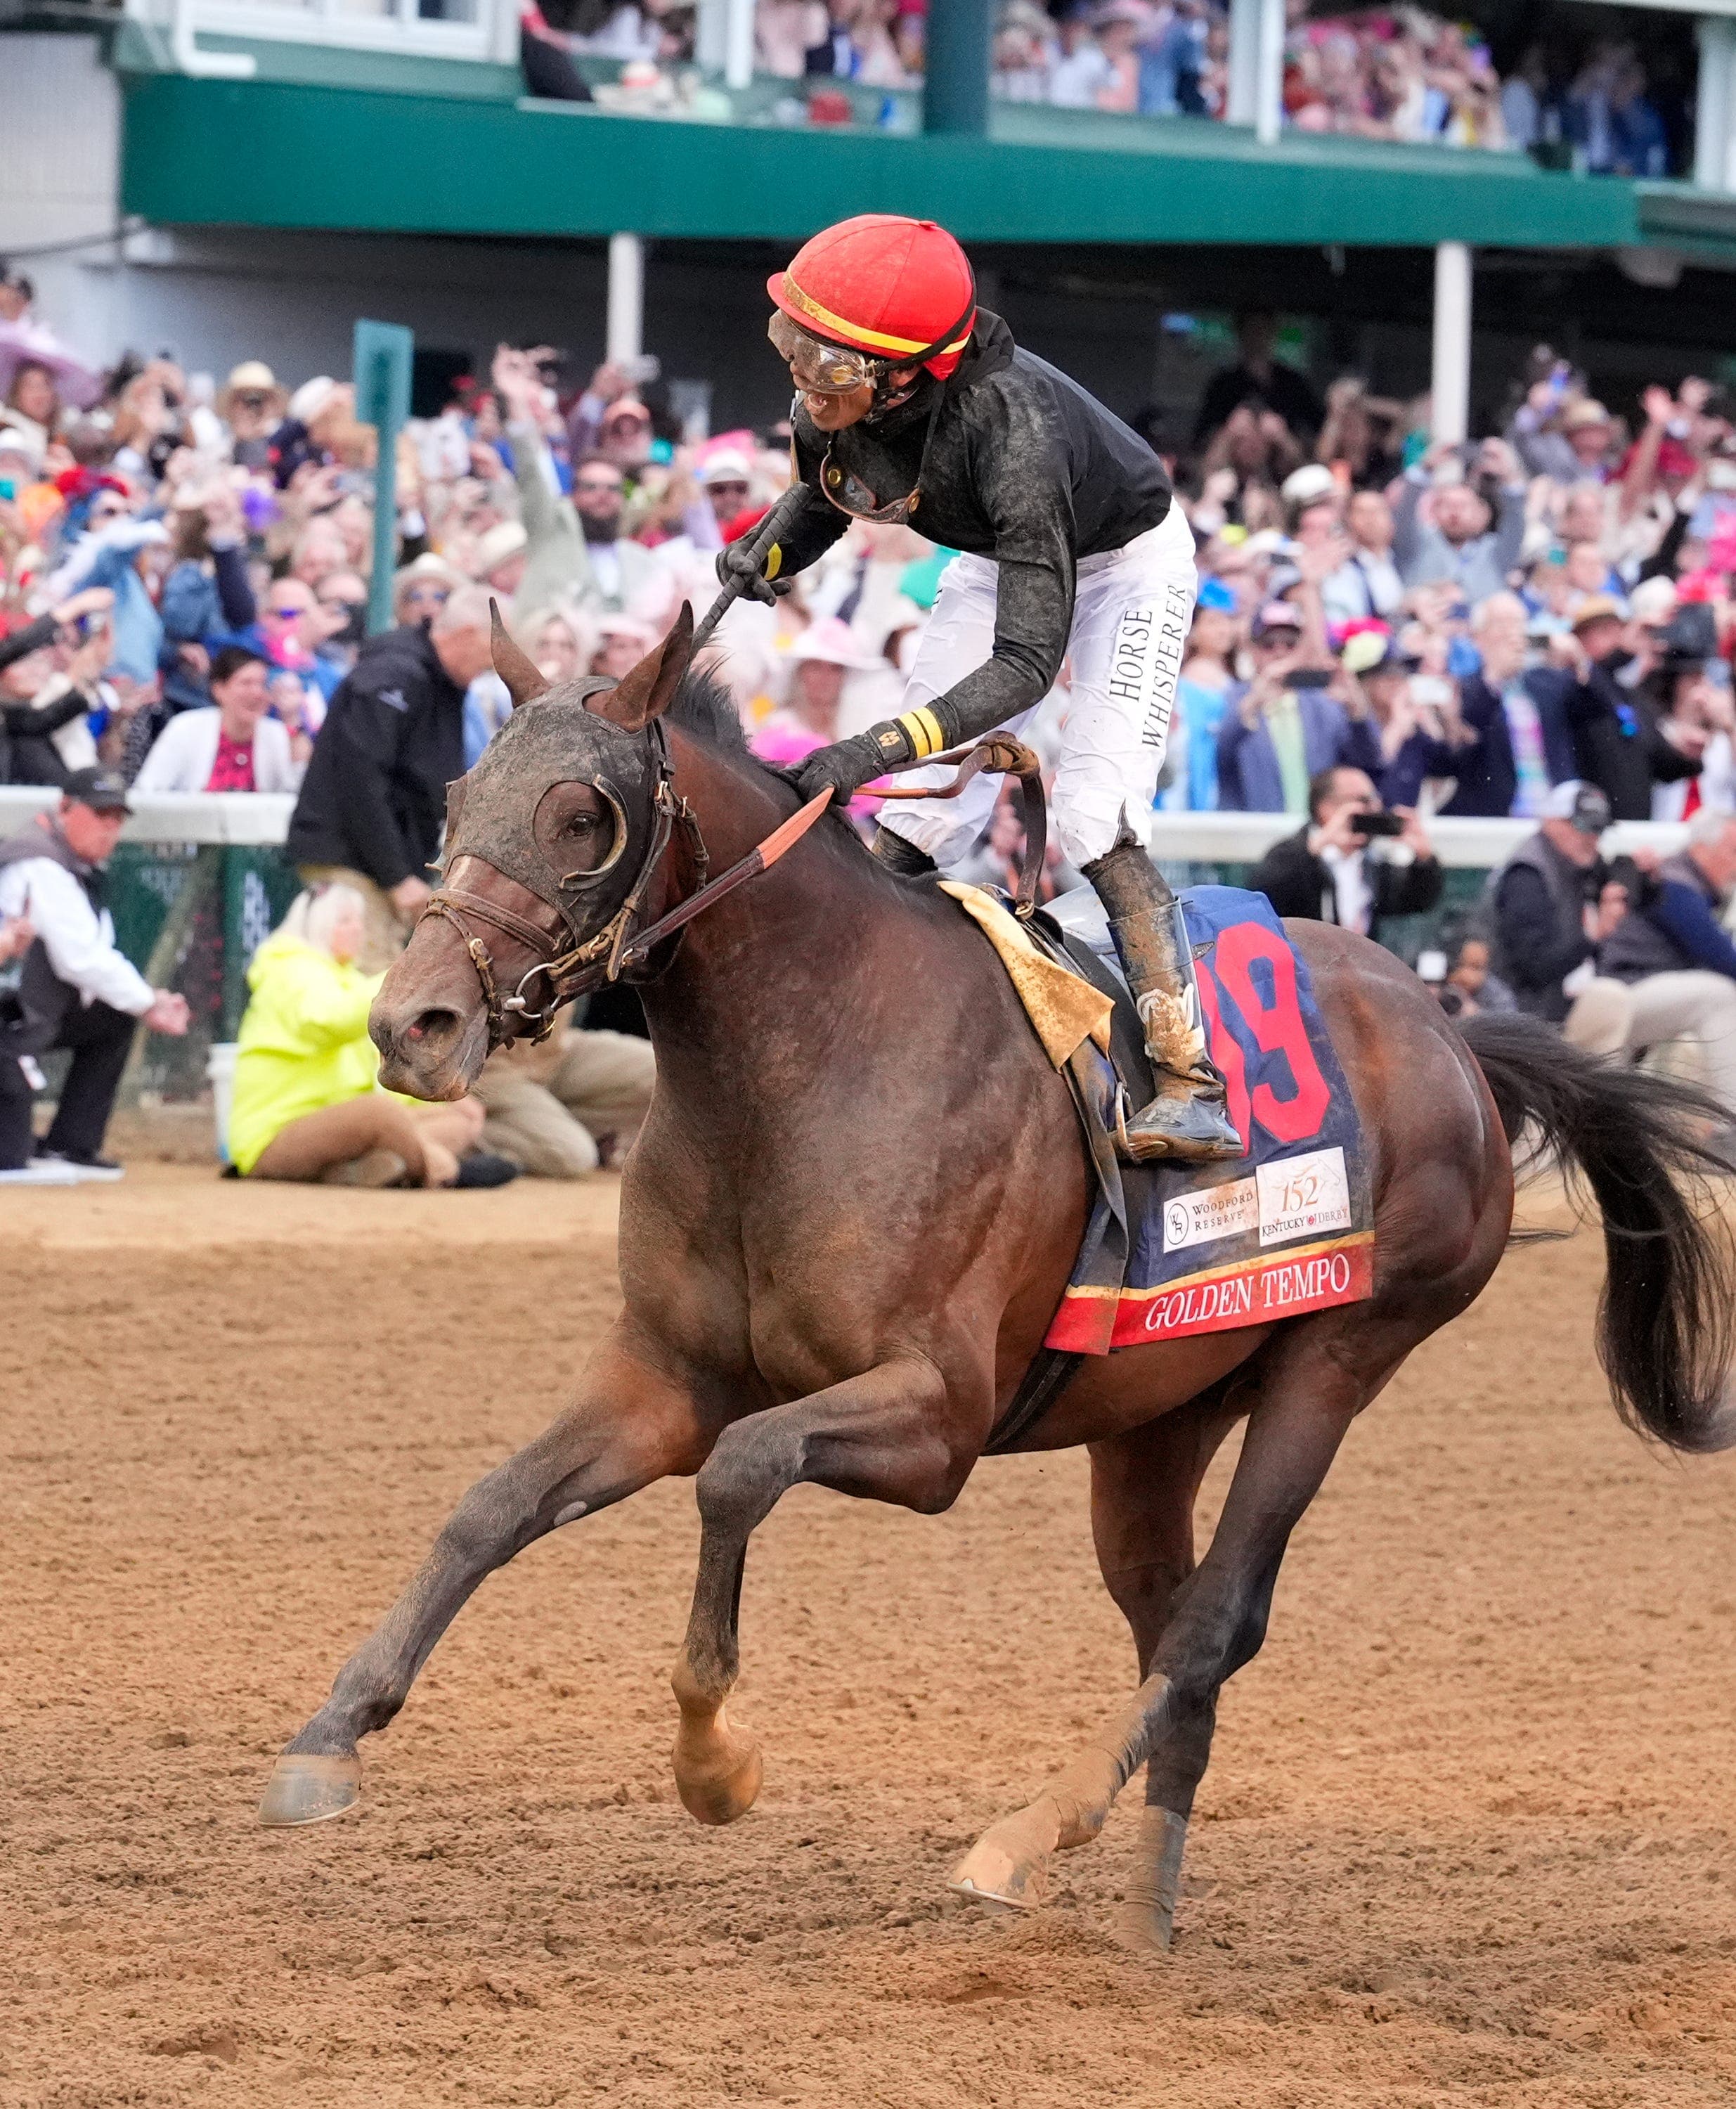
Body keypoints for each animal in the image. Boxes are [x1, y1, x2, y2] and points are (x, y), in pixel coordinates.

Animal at [258, 611, 1736, 1950]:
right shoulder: (663, 1377)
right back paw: (1146, 1907)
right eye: (457, 797)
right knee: (1171, 1628)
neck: (805, 1054)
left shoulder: (940, 1417)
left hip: (1340, 1360)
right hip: (1159, 1416)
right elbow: (491, 1507)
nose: (413, 1023)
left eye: (582, 816)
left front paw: (715, 1761)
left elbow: (741, 1469)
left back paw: (1025, 1840)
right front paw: (329, 1736)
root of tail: (1454, 1031)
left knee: (1214, 1624)